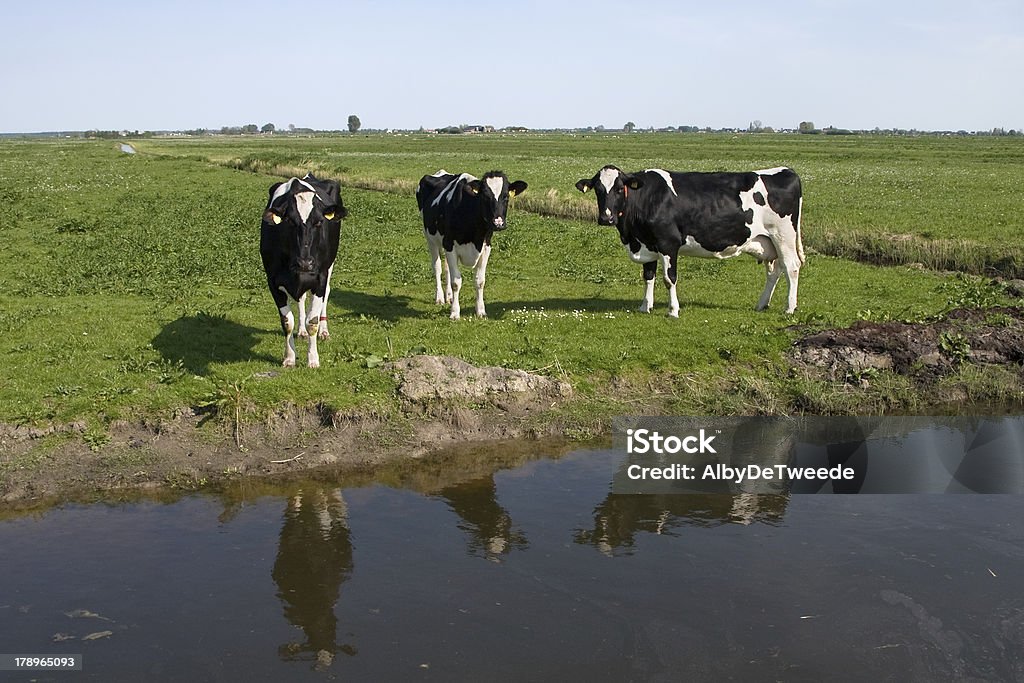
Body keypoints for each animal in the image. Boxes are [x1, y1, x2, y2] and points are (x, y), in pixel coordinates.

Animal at [260, 175, 348, 368]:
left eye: (319, 222)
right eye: (290, 222)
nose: (305, 263)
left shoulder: (320, 278)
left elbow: (312, 321)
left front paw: (313, 359)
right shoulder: (273, 280)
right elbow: (287, 322)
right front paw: (289, 358)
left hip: (330, 265)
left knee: (327, 293)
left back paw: (324, 331)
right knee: (300, 299)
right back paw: (301, 332)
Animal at [415, 171, 528, 321]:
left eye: (506, 196)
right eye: (485, 196)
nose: (498, 223)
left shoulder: (486, 247)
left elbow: (480, 281)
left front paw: (480, 311)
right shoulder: (449, 245)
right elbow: (456, 282)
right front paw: (455, 313)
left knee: (447, 269)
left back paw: (449, 297)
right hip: (431, 239)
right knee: (437, 267)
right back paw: (439, 298)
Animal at [577, 165, 798, 315]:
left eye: (618, 188)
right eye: (598, 189)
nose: (606, 218)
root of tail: (786, 170)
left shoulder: (668, 243)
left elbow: (669, 278)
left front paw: (673, 310)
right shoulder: (647, 243)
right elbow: (648, 276)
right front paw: (645, 306)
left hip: (784, 236)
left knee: (791, 267)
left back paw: (789, 307)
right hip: (768, 242)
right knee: (774, 271)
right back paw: (762, 304)